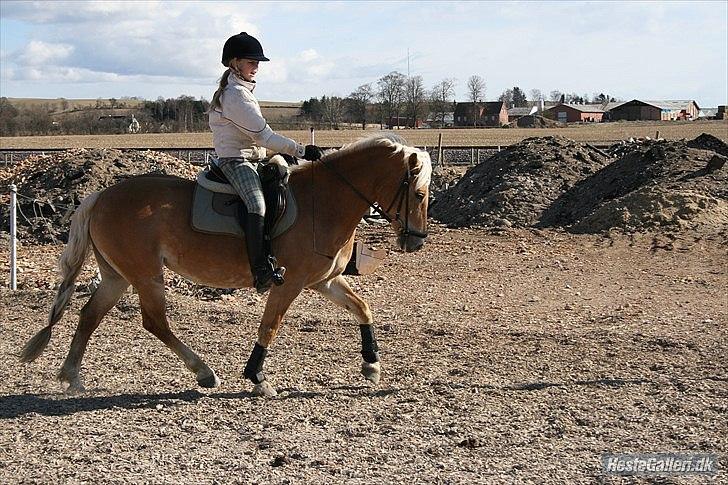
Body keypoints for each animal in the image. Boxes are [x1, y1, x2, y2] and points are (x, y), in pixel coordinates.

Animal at [19, 133, 432, 398]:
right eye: (418, 193)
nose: (416, 241)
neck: (325, 202)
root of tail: (101, 195)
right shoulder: (290, 282)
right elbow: (270, 326)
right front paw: (258, 378)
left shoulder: (323, 281)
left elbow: (363, 308)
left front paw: (371, 365)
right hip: (145, 275)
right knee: (154, 322)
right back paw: (204, 372)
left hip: (117, 276)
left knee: (90, 314)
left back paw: (72, 376)